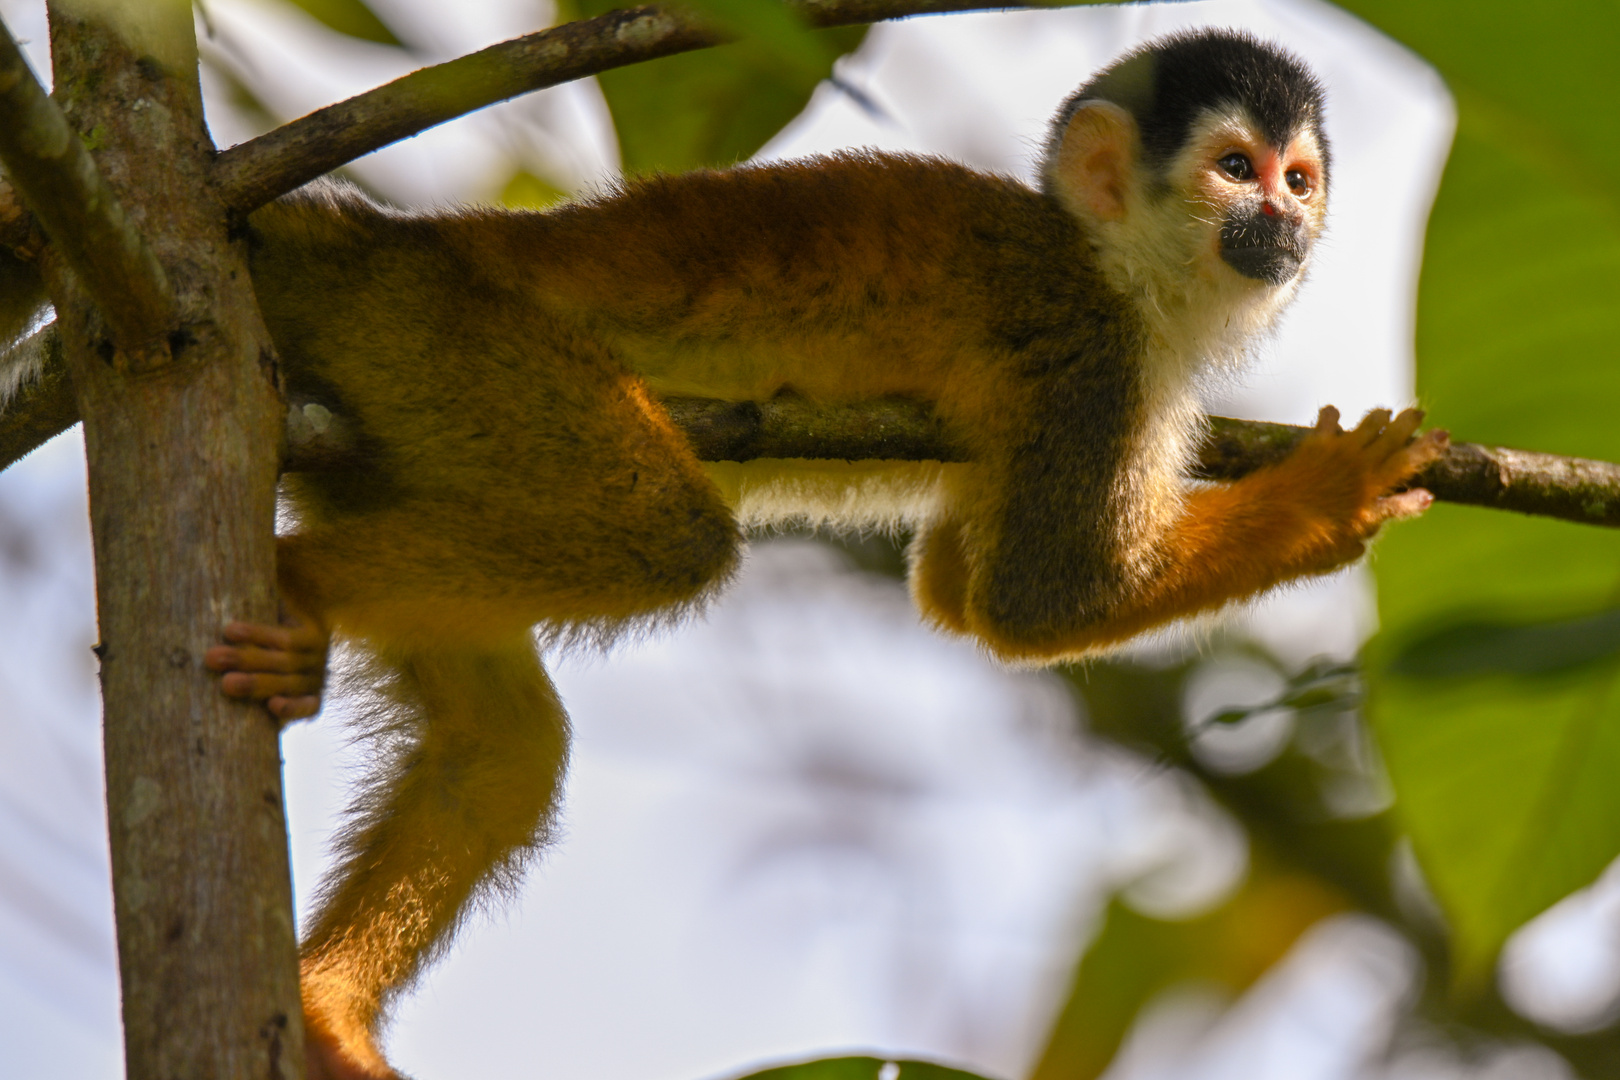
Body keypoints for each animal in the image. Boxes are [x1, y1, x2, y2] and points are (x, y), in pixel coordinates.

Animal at [0, 27, 1445, 1080]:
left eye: (1299, 179)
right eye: (1236, 169)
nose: (1287, 225)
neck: (1124, 269)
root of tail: (403, 237)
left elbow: (957, 591)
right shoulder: (1097, 349)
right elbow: (1037, 600)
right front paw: (1332, 498)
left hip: (405, 414)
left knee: (510, 733)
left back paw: (321, 992)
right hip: (447, 338)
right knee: (664, 538)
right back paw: (306, 590)